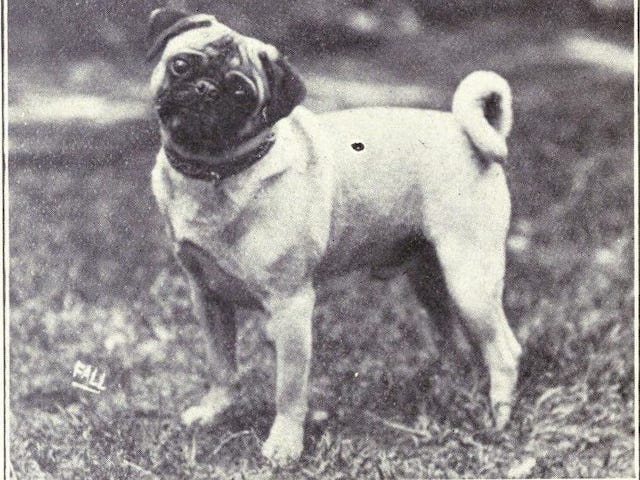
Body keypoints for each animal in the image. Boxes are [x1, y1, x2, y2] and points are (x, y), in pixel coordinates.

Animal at [147, 8, 522, 464]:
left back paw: (498, 416)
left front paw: (284, 445)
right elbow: (221, 365)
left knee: (504, 350)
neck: (216, 173)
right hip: (430, 278)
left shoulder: (291, 307)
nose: (205, 89)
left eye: (240, 93)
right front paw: (215, 411)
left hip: (470, 280)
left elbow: (289, 389)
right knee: (454, 337)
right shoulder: (207, 296)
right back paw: (448, 385)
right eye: (181, 65)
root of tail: (465, 132)